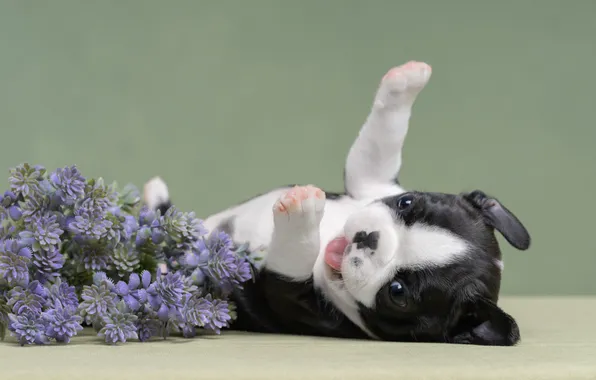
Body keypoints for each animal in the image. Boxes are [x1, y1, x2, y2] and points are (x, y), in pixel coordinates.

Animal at [143, 61, 532, 348]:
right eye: (407, 203)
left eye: (398, 293)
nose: (367, 238)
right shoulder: (370, 184)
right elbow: (378, 145)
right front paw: (408, 81)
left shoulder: (288, 295)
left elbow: (293, 256)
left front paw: (301, 213)